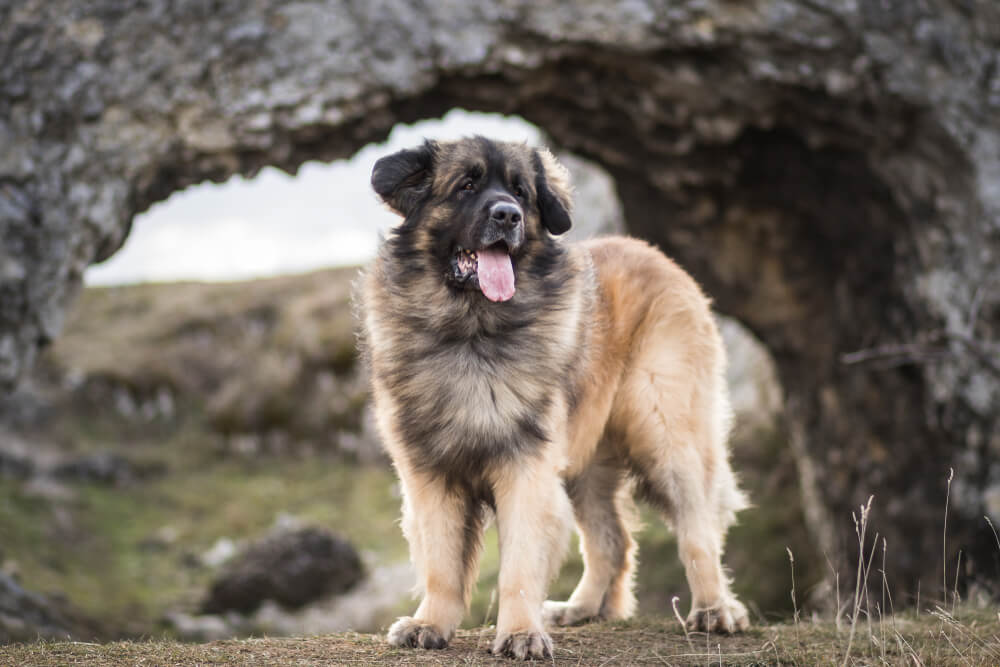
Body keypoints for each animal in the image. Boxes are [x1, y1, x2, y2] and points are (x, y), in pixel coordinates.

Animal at [356, 137, 748, 664]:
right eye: (466, 186)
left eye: (521, 193)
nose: (508, 216)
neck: (472, 332)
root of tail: (651, 252)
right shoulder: (430, 473)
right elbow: (441, 562)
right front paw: (430, 623)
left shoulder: (527, 467)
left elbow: (520, 565)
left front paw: (521, 633)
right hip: (585, 462)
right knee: (611, 540)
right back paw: (581, 608)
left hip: (666, 433)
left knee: (697, 530)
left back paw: (714, 609)